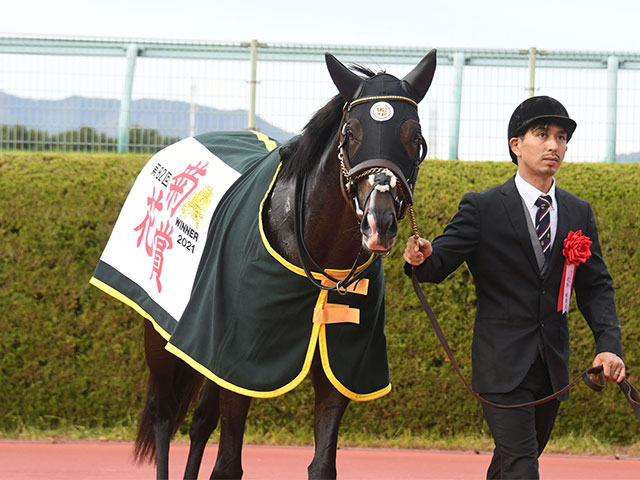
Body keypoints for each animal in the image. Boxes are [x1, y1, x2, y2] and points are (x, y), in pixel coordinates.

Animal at [132, 50, 438, 478]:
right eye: (350, 132)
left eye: (415, 136)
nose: (379, 222)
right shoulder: (240, 359)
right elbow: (227, 465)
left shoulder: (338, 366)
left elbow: (322, 465)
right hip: (159, 331)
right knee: (164, 416)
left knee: (199, 420)